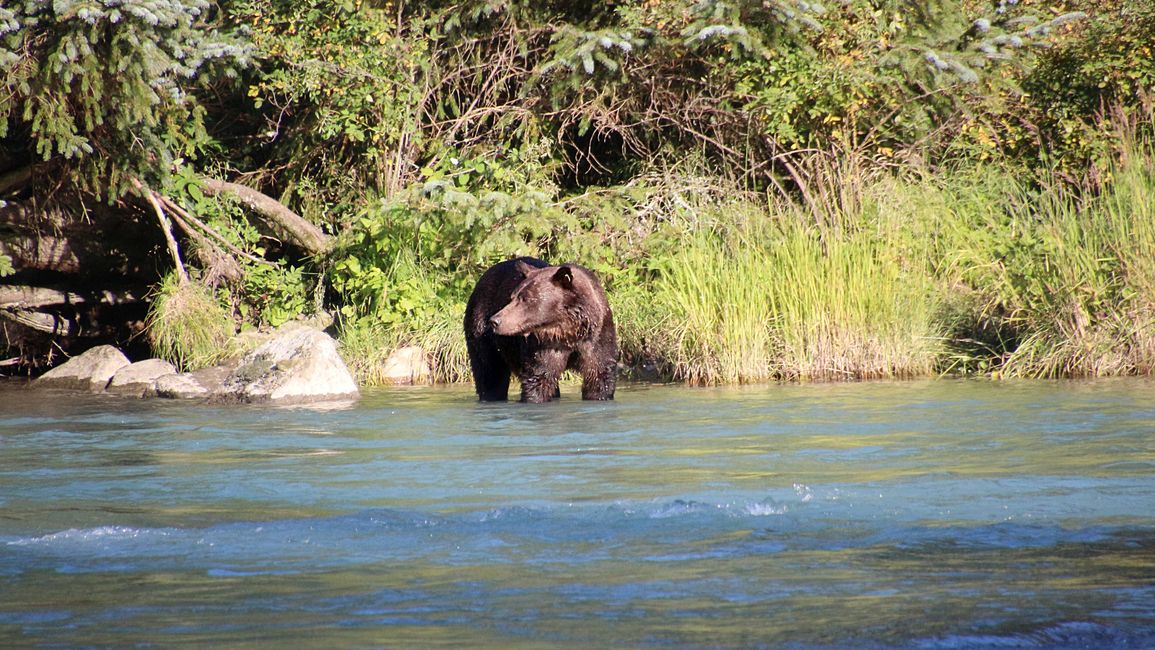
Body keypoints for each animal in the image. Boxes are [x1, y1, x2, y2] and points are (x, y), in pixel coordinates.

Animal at [464, 258, 619, 401]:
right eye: (512, 297)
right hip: (481, 330)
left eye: (525, 298)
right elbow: (539, 378)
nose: (495, 321)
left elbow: (599, 377)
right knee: (489, 372)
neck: (569, 332)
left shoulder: (597, 339)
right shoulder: (544, 345)